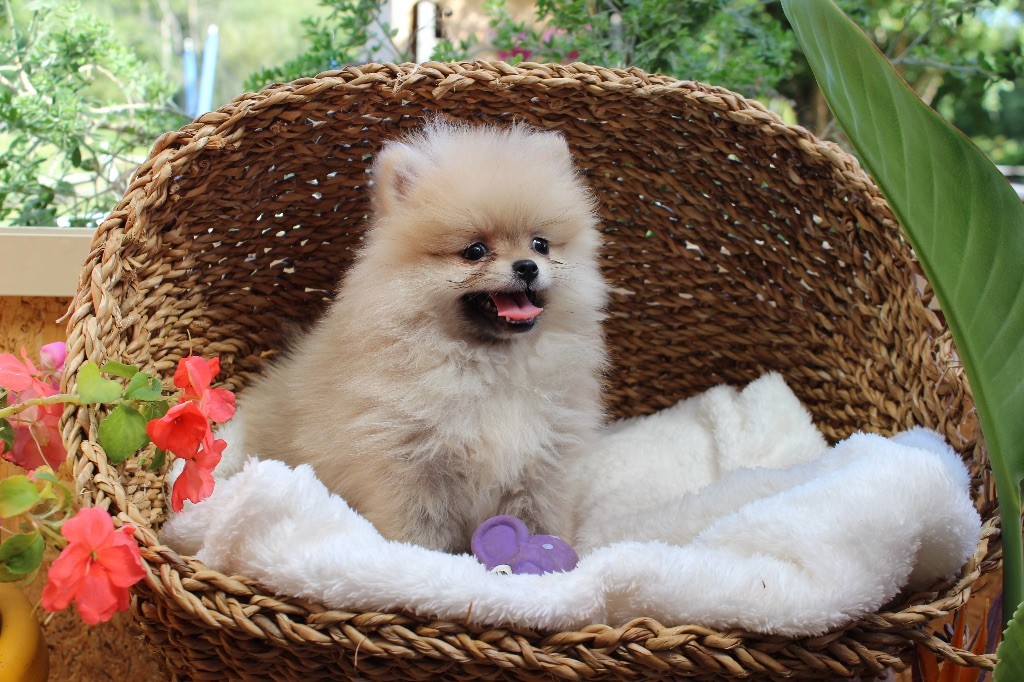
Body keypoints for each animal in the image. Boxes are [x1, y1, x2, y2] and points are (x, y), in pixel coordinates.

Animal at [237, 119, 606, 548]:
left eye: (541, 244)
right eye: (475, 251)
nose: (527, 266)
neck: (491, 366)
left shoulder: (544, 463)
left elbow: (544, 521)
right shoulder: (410, 468)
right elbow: (419, 538)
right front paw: (418, 563)